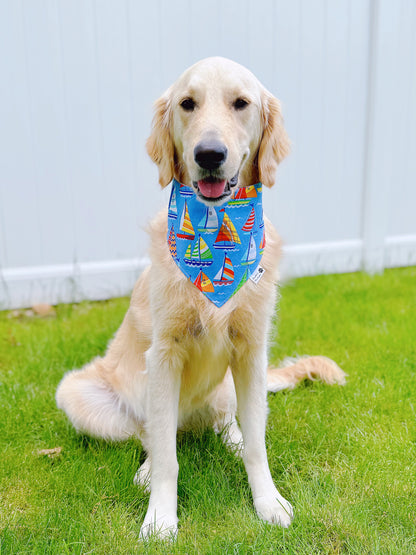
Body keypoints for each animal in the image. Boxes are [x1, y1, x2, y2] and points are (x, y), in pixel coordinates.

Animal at [57, 56, 346, 540]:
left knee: (227, 422)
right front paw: (160, 517)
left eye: (241, 103)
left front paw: (268, 502)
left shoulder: (251, 350)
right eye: (187, 104)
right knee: (152, 435)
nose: (209, 154)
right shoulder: (163, 355)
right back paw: (146, 469)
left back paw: (230, 439)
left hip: (228, 384)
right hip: (79, 393)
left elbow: (258, 444)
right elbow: (166, 457)